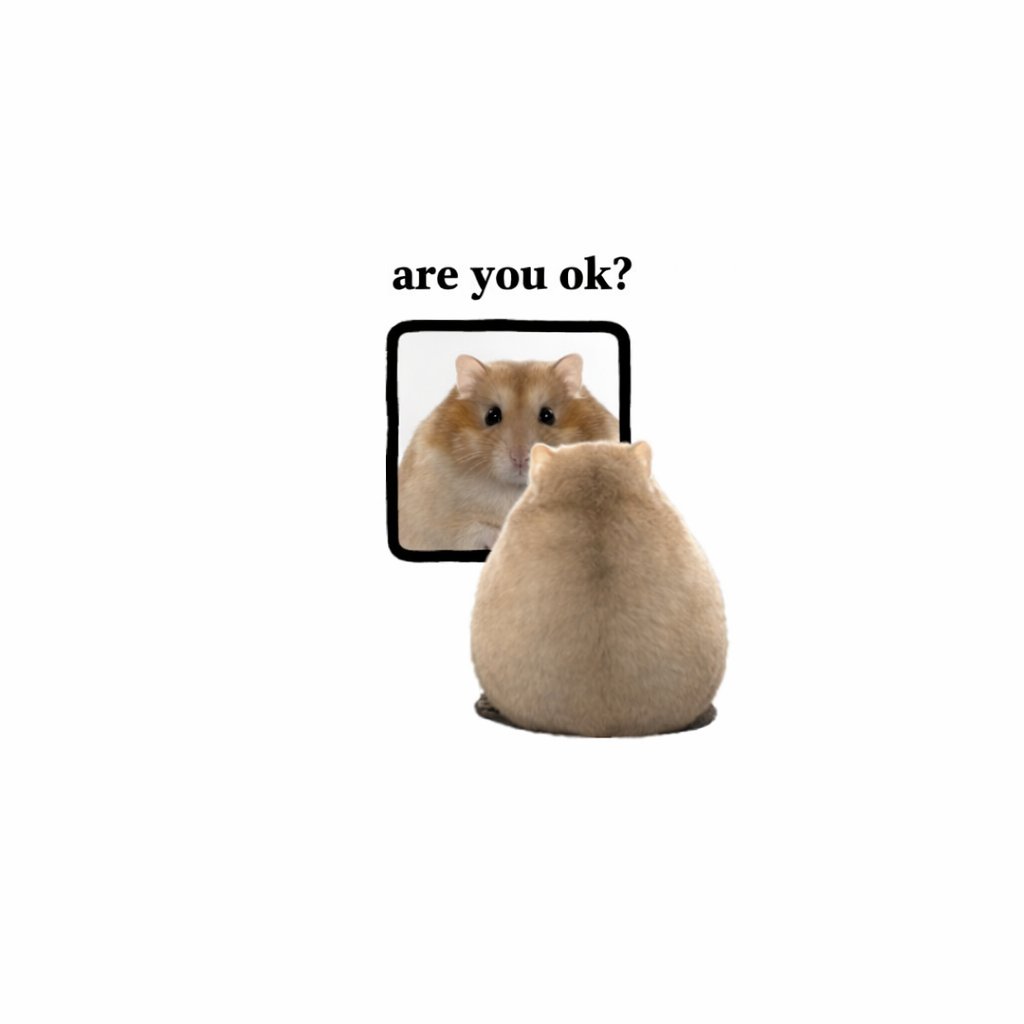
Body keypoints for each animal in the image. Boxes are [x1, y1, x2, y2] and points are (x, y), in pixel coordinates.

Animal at [398, 354, 619, 551]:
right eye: (492, 416)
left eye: (548, 415)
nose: (520, 458)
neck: (515, 488)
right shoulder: (435, 525)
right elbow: (474, 529)